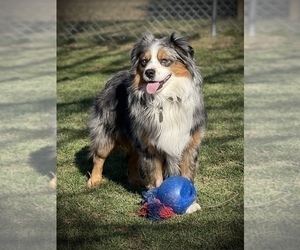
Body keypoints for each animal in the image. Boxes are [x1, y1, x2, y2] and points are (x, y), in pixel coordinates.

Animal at [85, 32, 205, 213]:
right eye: (144, 62)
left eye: (164, 60)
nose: (149, 72)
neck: (166, 100)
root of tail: (114, 76)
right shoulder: (151, 147)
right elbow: (156, 178)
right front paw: (158, 203)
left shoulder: (189, 144)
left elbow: (187, 176)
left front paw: (190, 204)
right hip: (107, 130)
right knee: (100, 156)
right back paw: (95, 180)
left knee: (132, 158)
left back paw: (135, 179)